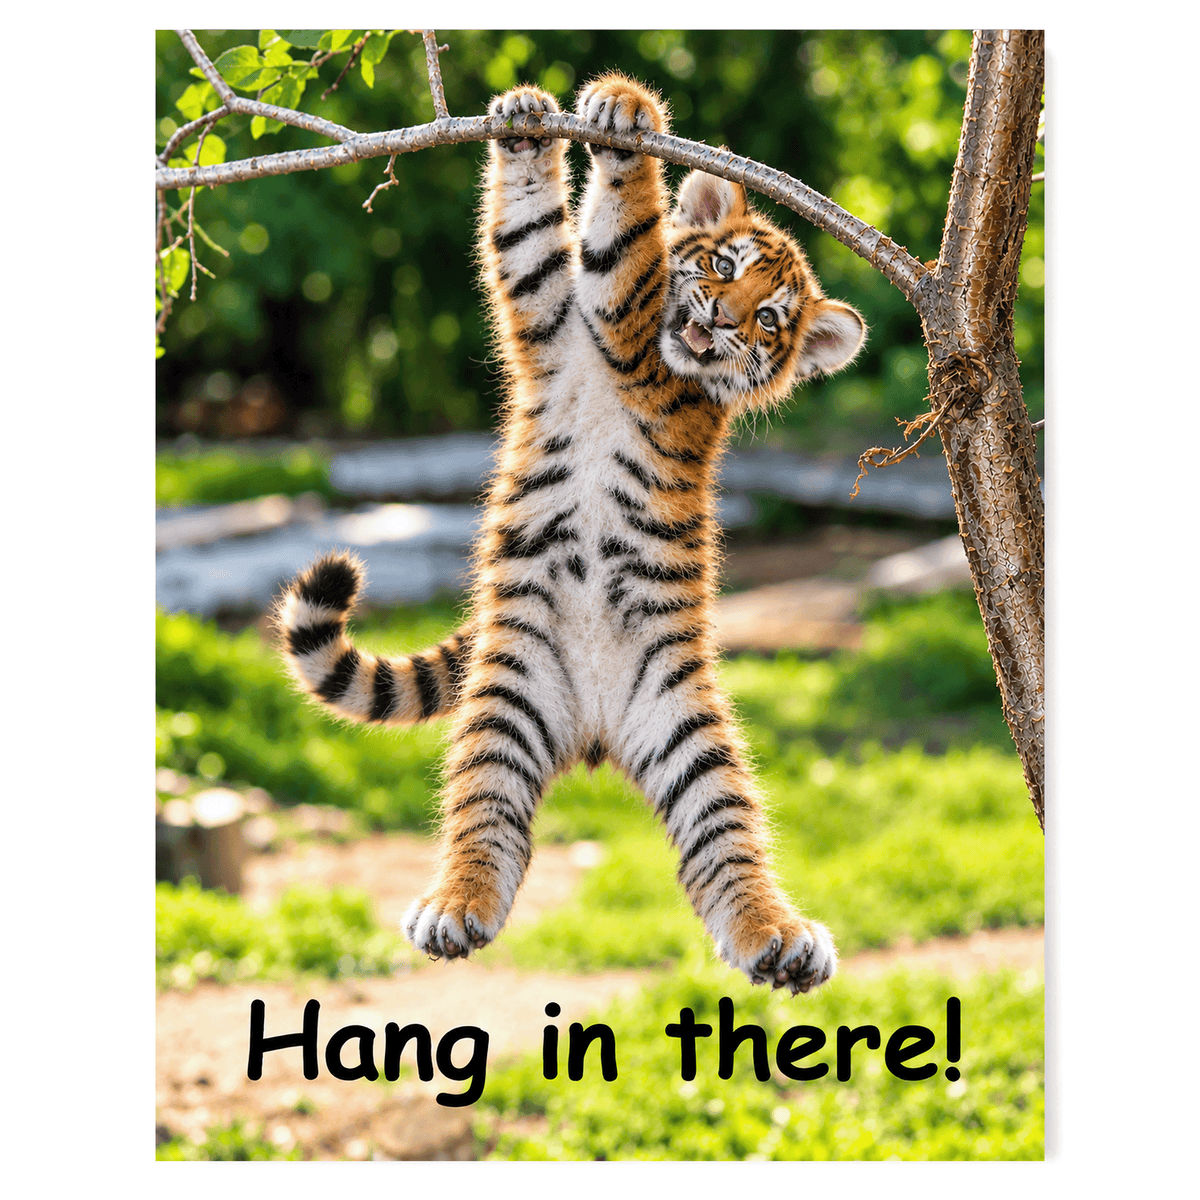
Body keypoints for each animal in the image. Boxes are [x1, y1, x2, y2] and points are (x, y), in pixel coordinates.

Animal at [276, 74, 866, 994]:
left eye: (770, 321)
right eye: (722, 266)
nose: (725, 321)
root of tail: (591, 734)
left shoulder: (619, 323)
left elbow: (627, 240)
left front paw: (624, 119)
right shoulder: (545, 315)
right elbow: (527, 232)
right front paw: (528, 119)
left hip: (690, 738)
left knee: (725, 846)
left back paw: (781, 939)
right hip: (507, 705)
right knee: (489, 825)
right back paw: (460, 910)